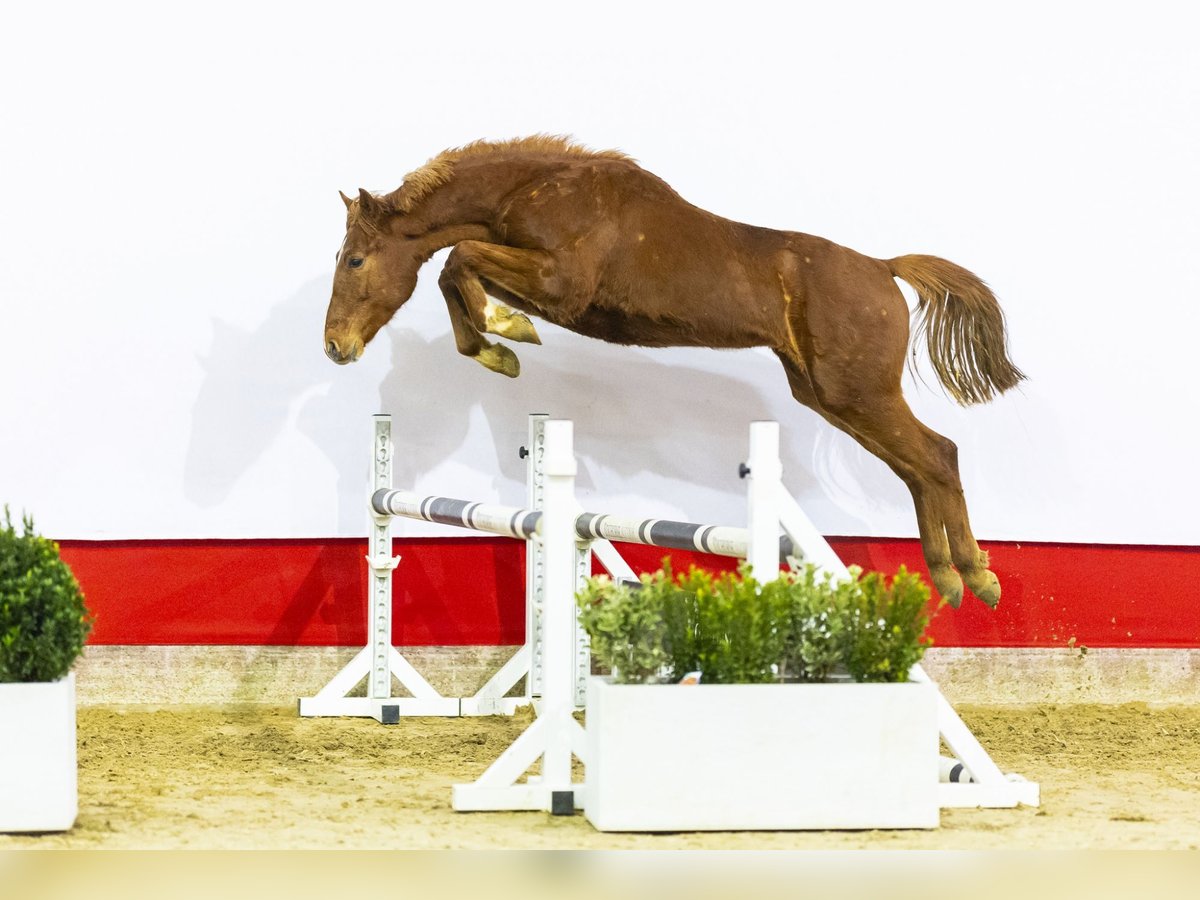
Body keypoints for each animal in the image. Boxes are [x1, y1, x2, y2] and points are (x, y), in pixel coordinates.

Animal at [326, 135, 1022, 614]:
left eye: (355, 259)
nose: (336, 346)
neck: (540, 189)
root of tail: (883, 267)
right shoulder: (541, 283)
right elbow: (457, 271)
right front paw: (500, 344)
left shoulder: (561, 284)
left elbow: (459, 259)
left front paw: (508, 338)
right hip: (831, 396)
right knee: (919, 468)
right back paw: (951, 579)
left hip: (859, 393)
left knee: (938, 455)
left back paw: (976, 577)